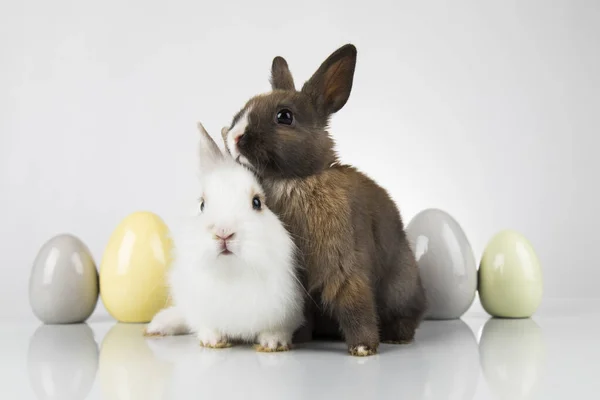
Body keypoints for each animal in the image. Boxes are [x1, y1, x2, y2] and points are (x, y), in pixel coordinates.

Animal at [144, 120, 304, 352]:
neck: (231, 275)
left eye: (257, 202)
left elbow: (279, 328)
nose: (223, 232)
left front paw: (273, 342)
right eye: (202, 205)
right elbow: (205, 325)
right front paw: (212, 340)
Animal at [220, 43, 426, 356]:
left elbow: (354, 303)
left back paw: (396, 337)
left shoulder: (343, 267)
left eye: (284, 116)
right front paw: (293, 339)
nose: (234, 136)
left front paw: (363, 348)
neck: (296, 180)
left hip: (401, 288)